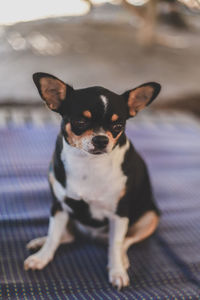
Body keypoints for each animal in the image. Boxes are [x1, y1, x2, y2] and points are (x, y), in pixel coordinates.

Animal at [23, 71, 161, 290]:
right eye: (80, 122)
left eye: (118, 126)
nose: (101, 139)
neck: (88, 163)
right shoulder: (59, 205)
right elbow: (53, 235)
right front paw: (42, 257)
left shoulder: (120, 214)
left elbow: (116, 245)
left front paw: (117, 272)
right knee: (66, 235)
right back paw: (40, 242)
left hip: (149, 218)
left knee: (123, 242)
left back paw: (122, 260)